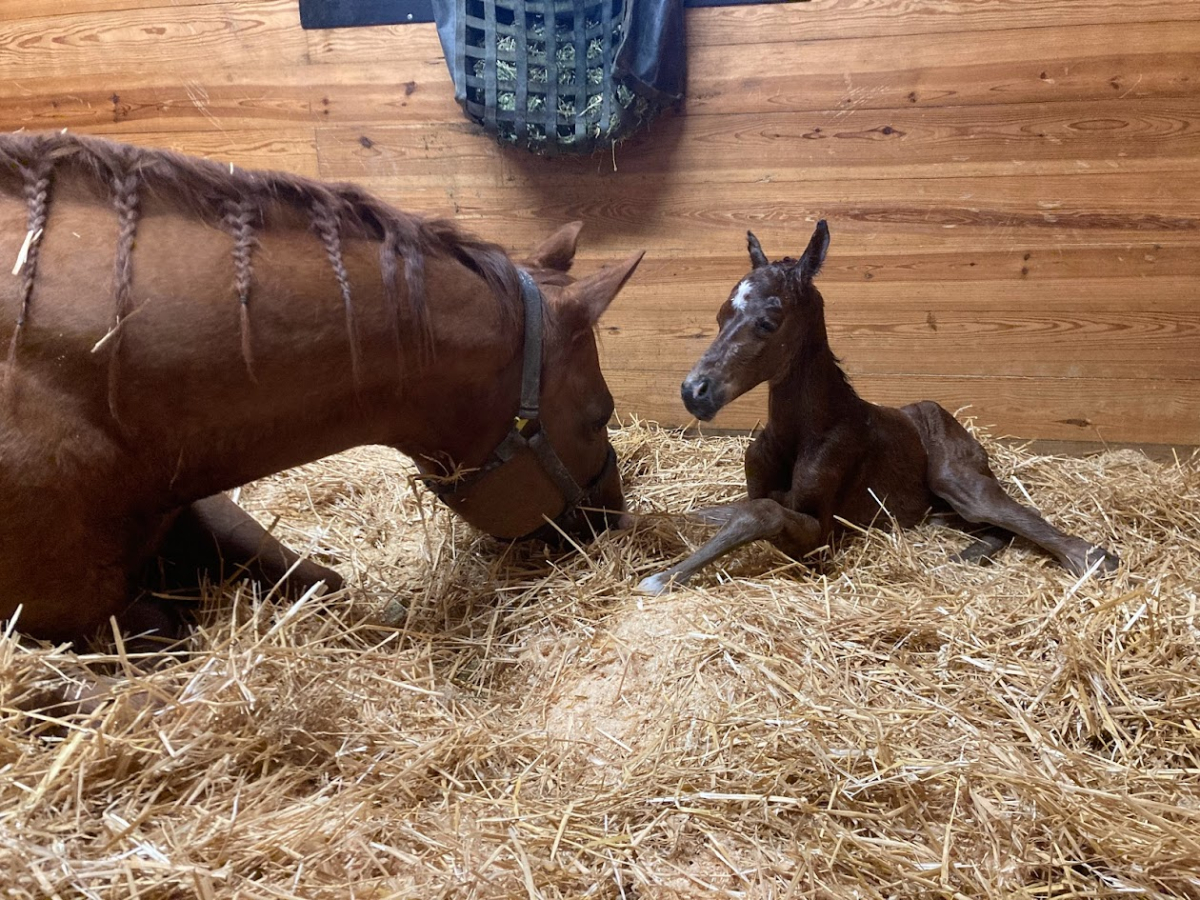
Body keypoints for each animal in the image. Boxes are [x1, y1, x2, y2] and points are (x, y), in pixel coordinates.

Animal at [643, 222, 1118, 595]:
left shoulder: (823, 537)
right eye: (720, 315)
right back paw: (962, 554)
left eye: (767, 322)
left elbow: (762, 514)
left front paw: (661, 578)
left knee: (1040, 529)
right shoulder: (755, 492)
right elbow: (713, 511)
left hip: (958, 482)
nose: (694, 392)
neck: (801, 433)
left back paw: (1091, 558)